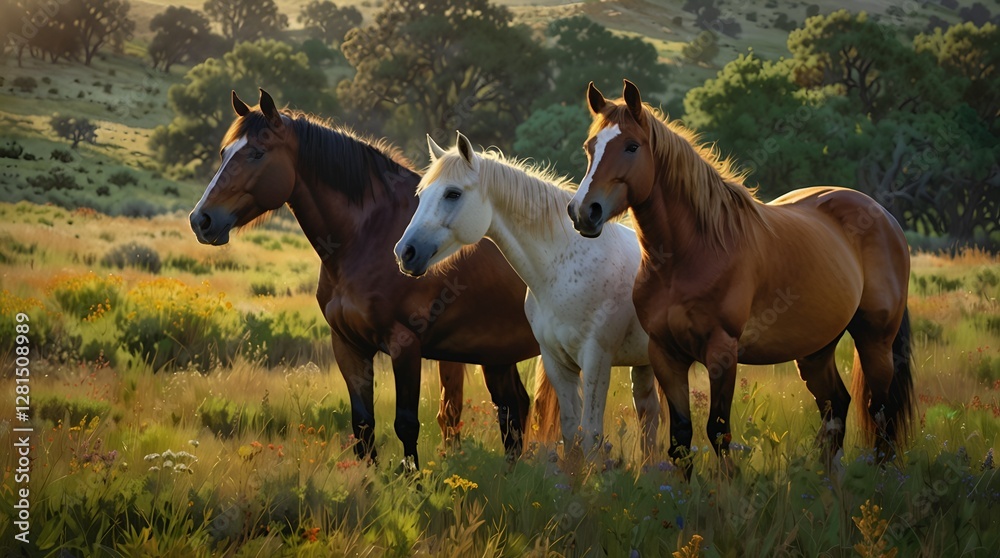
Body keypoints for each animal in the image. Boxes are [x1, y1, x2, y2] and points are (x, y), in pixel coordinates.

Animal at [189, 88, 556, 469]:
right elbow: (363, 427)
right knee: (513, 410)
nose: (201, 220)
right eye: (224, 153)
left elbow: (406, 424)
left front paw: (413, 480)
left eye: (257, 153)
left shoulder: (404, 345)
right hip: (497, 354)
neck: (366, 237)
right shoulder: (348, 346)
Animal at [394, 132, 663, 458]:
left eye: (453, 194)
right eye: (422, 195)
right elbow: (571, 434)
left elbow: (590, 436)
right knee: (649, 417)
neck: (564, 268)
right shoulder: (557, 362)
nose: (405, 252)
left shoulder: (596, 360)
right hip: (644, 362)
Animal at [567, 80, 914, 475]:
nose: (584, 212)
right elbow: (680, 439)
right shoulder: (665, 354)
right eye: (590, 147)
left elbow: (718, 432)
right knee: (836, 409)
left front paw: (729, 489)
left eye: (631, 146)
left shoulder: (722, 351)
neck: (690, 254)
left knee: (881, 416)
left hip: (875, 342)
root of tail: (885, 217)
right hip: (816, 350)